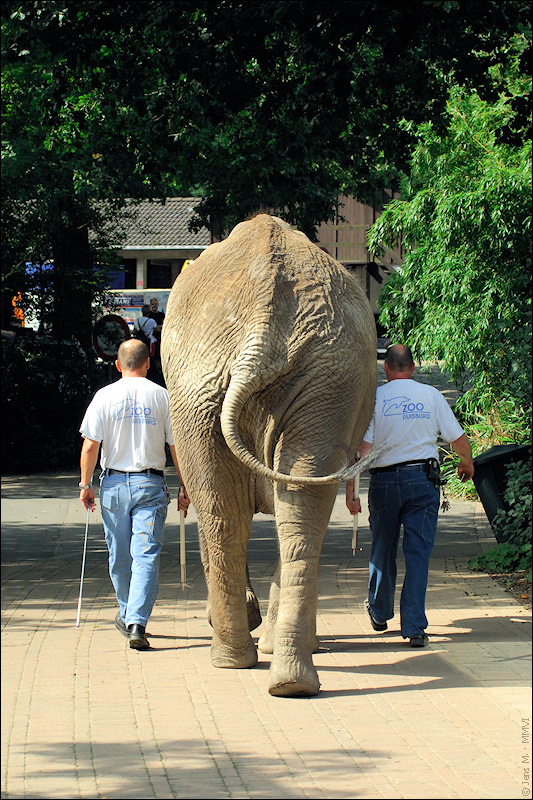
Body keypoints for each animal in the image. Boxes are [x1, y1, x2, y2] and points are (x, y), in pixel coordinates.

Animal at [161, 214, 378, 697]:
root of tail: (264, 326)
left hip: (221, 385)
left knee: (233, 512)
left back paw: (242, 663)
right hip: (312, 380)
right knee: (286, 508)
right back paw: (286, 680)